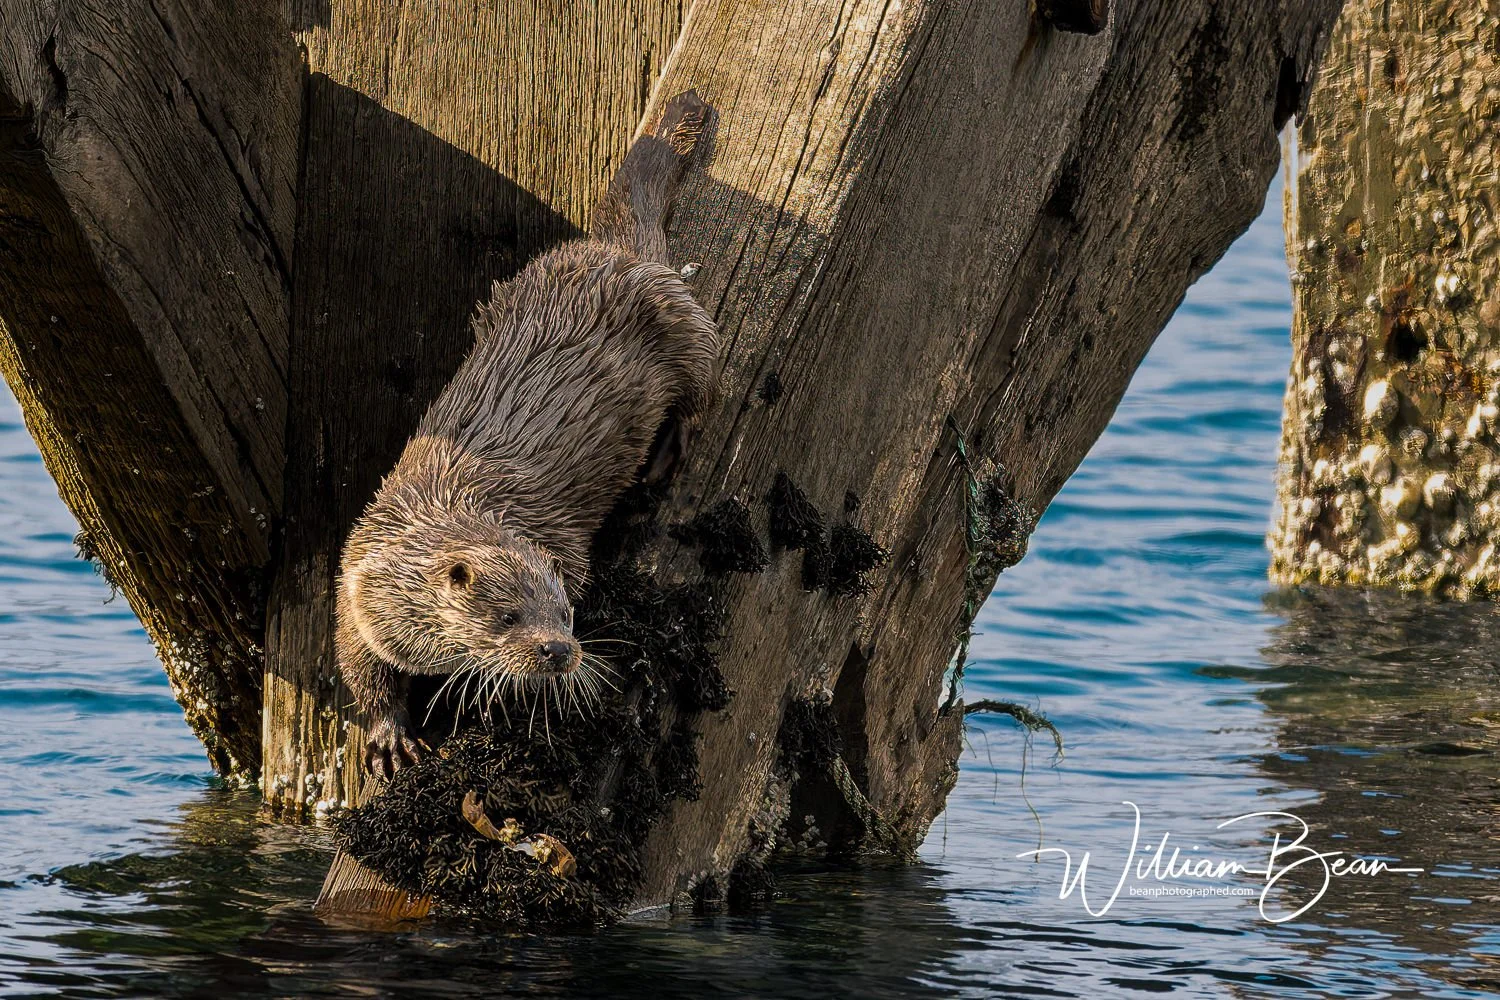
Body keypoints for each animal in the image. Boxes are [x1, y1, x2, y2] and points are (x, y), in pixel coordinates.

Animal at [336, 94, 716, 777]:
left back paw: (666, 456)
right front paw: (386, 736)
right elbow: (361, 666)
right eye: (508, 616)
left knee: (708, 387)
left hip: (685, 325)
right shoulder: (361, 583)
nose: (560, 651)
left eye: (566, 614)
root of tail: (615, 252)